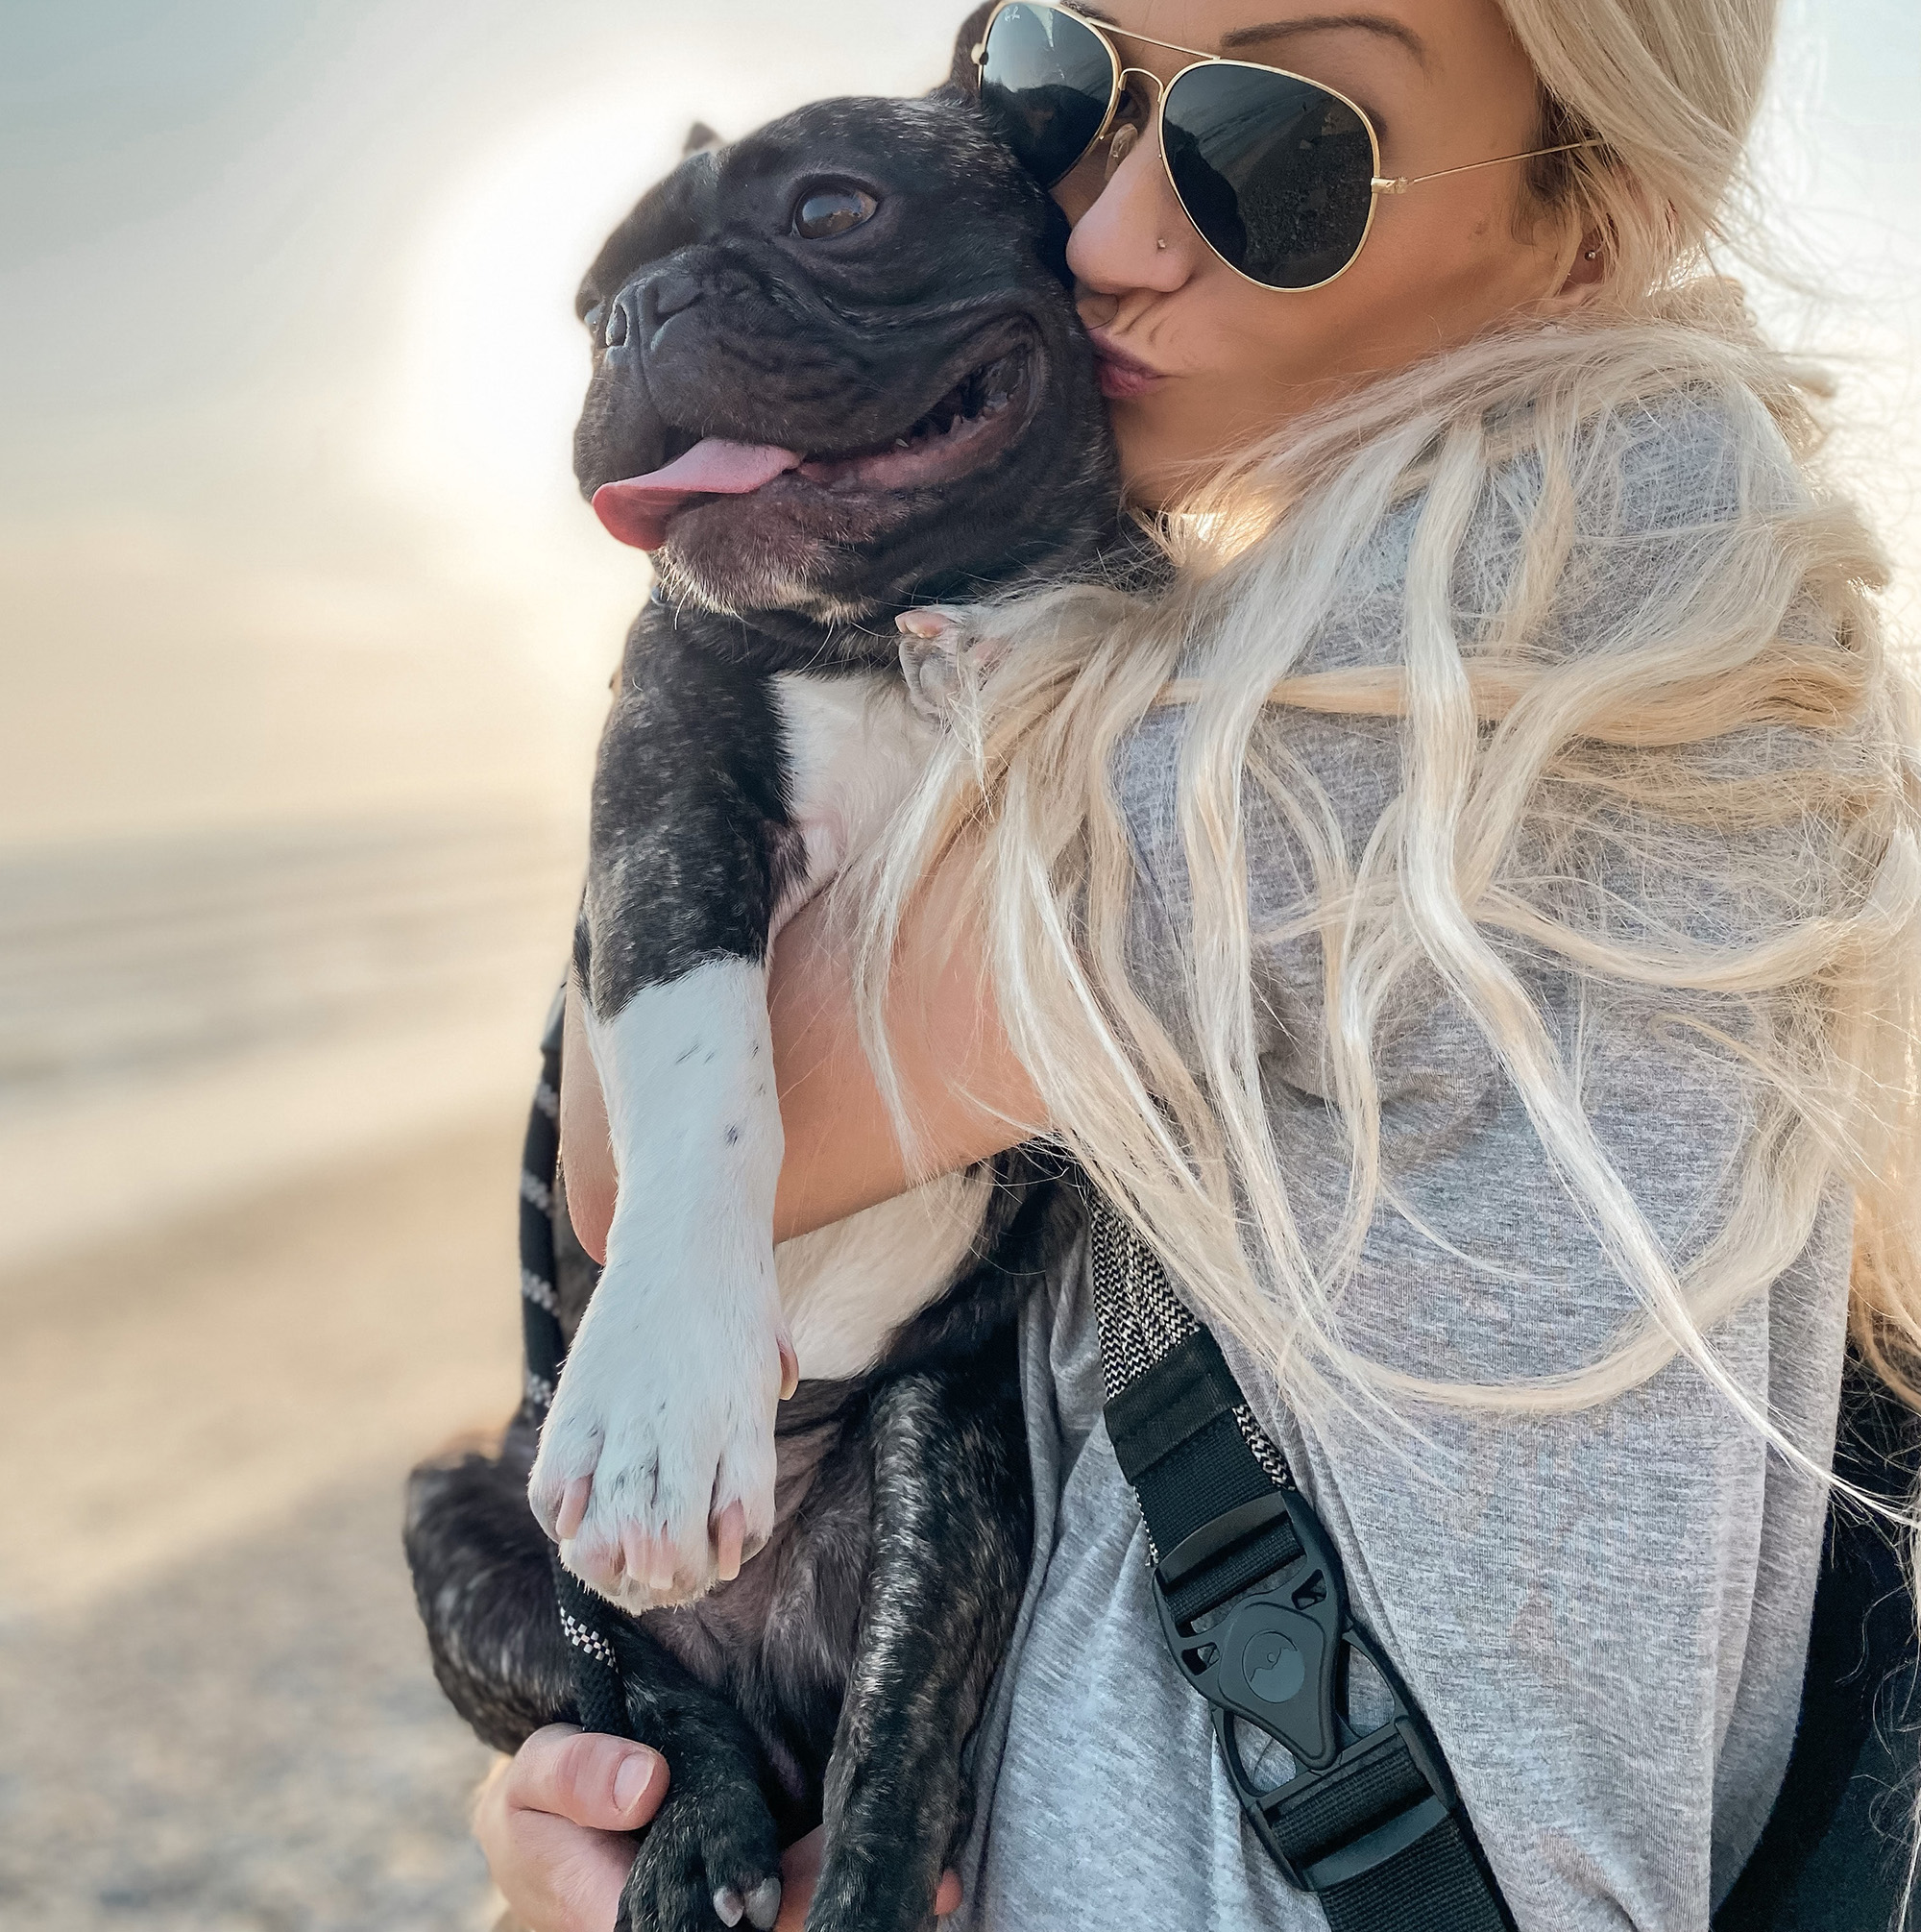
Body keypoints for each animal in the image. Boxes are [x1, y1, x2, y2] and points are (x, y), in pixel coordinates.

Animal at [398, 41, 1134, 1931]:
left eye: (832, 210)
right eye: (586, 302)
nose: (638, 313)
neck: (883, 636)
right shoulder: (662, 827)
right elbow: (705, 1063)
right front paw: (668, 1393)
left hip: (942, 1473)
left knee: (892, 1752)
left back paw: (849, 1860)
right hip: (472, 1515)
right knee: (640, 1703)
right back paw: (697, 1834)